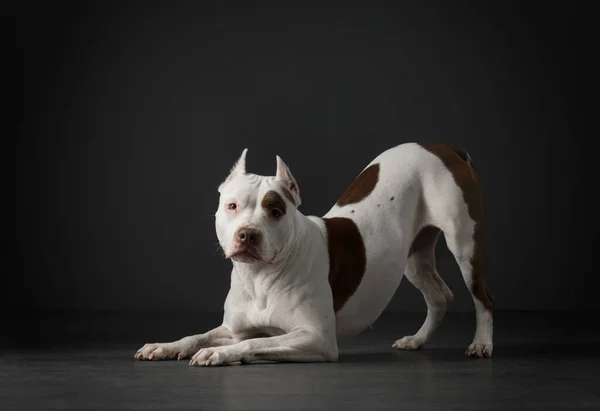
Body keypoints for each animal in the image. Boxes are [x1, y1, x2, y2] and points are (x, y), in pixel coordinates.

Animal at [135, 142, 492, 366]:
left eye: (276, 211)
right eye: (232, 206)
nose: (247, 234)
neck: (261, 278)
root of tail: (442, 147)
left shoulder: (315, 338)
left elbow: (253, 343)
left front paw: (219, 354)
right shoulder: (233, 328)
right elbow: (198, 336)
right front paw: (165, 346)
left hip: (464, 243)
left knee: (482, 296)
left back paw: (482, 343)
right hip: (412, 259)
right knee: (440, 296)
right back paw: (416, 340)